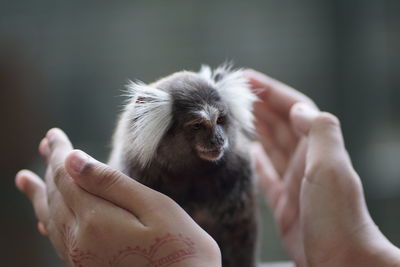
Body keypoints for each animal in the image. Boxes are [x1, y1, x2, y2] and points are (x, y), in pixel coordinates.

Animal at [109, 65, 260, 267]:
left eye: (220, 120)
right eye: (197, 125)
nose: (218, 139)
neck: (192, 174)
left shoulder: (239, 174)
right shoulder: (137, 173)